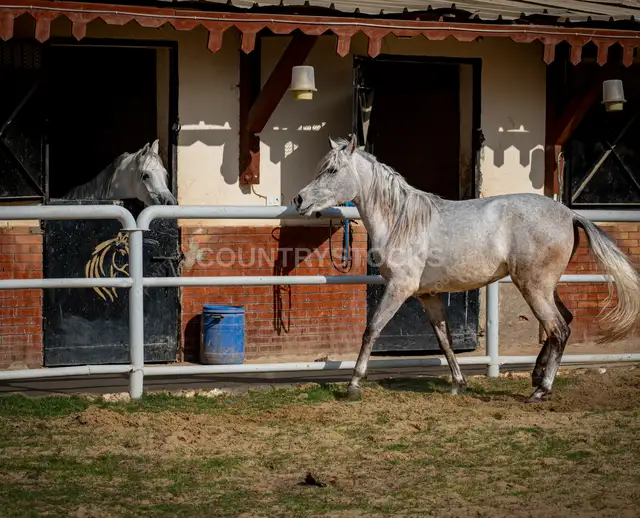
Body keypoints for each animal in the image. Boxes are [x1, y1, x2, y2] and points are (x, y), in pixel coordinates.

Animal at [293, 135, 640, 403]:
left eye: (332, 170)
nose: (299, 200)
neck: (401, 221)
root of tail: (569, 214)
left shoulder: (399, 288)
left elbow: (372, 330)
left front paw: (353, 385)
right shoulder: (428, 295)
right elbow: (444, 338)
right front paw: (458, 384)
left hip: (533, 286)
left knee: (558, 329)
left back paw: (541, 390)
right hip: (544, 286)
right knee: (564, 321)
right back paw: (536, 376)